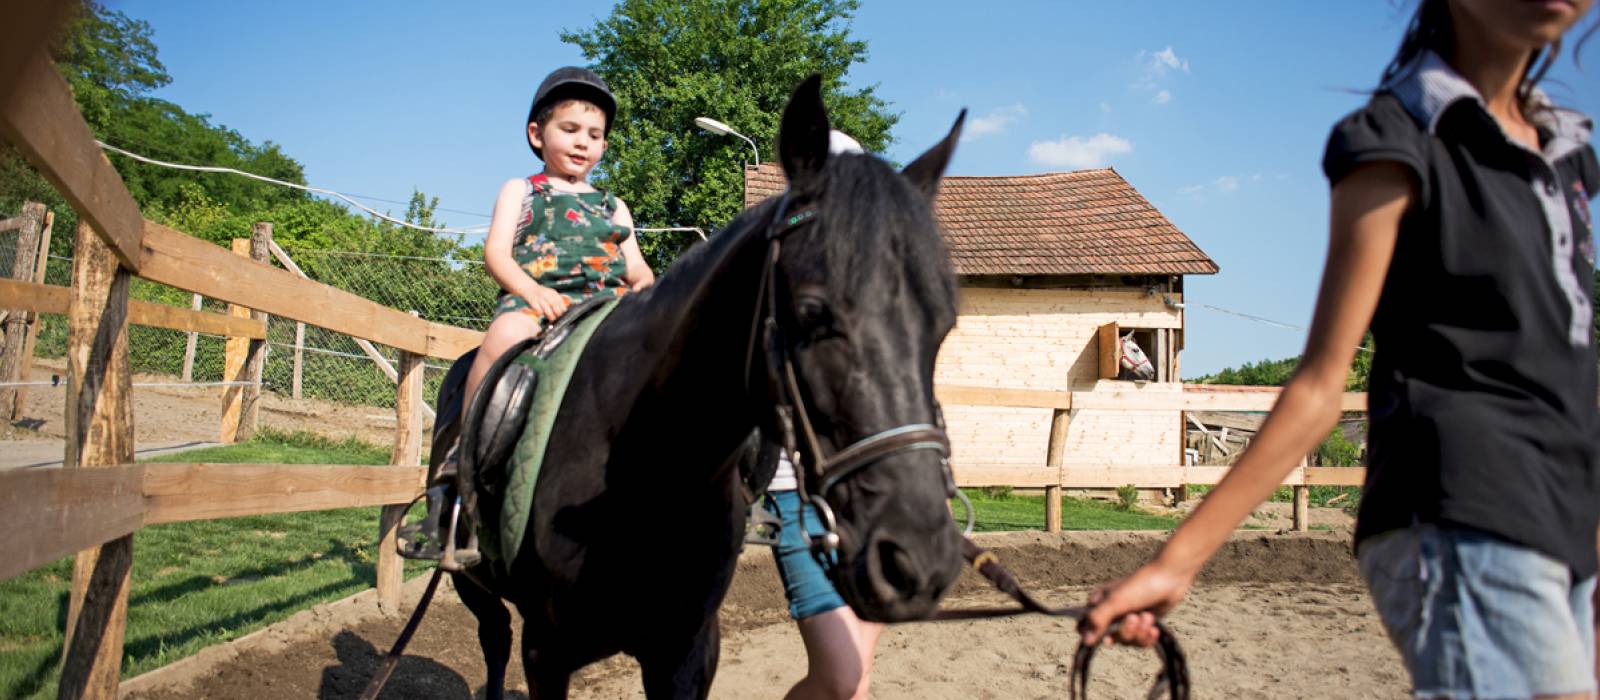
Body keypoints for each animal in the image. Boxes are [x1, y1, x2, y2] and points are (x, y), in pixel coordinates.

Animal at [432, 73, 966, 696]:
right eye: (813, 313)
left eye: (944, 322)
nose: (920, 558)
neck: (649, 469)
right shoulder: (547, 650)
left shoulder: (687, 649)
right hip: (474, 585)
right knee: (493, 640)